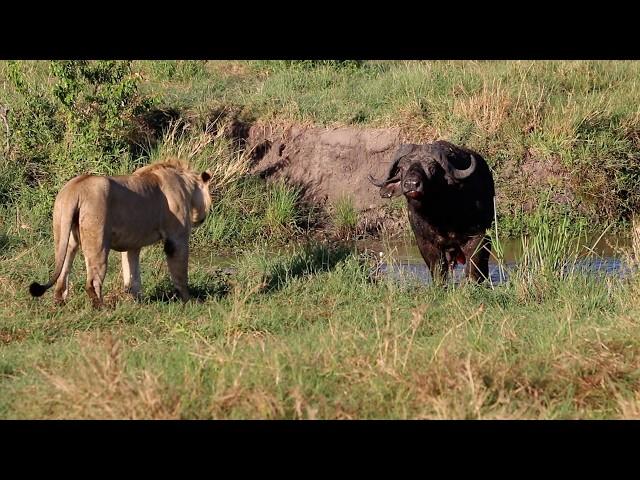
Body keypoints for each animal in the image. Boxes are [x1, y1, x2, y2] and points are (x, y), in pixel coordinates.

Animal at [28, 158, 214, 308]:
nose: (202, 219)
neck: (187, 186)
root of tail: (76, 189)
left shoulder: (132, 244)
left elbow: (132, 274)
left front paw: (138, 302)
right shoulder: (176, 238)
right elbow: (180, 273)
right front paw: (190, 300)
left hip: (64, 234)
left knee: (63, 272)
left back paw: (59, 302)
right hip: (98, 241)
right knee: (92, 281)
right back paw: (101, 307)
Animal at [368, 141, 498, 284]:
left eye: (431, 167)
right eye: (402, 168)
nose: (412, 184)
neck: (440, 216)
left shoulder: (478, 236)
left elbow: (474, 266)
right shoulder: (425, 242)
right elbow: (437, 268)